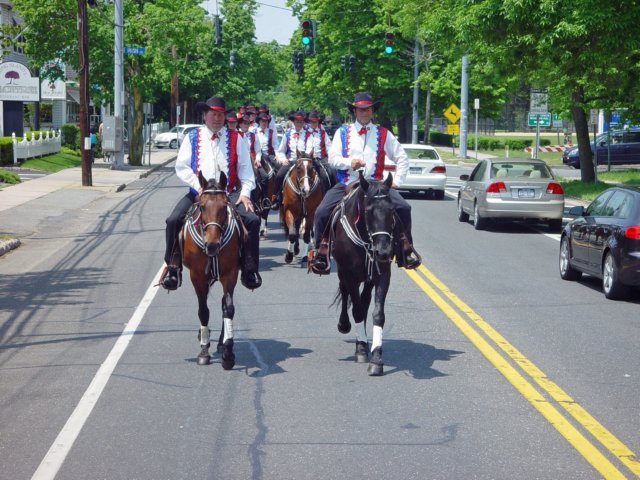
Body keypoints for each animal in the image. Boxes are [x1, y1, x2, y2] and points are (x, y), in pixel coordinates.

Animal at [182, 171, 242, 370]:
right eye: (202, 206)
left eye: (224, 206)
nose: (212, 245)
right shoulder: (197, 275)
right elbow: (203, 310)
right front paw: (204, 351)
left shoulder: (230, 274)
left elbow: (228, 308)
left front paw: (228, 352)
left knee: (223, 303)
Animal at [336, 171, 396, 376]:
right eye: (369, 211)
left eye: (392, 211)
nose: (383, 252)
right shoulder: (350, 275)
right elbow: (357, 310)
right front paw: (361, 349)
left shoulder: (383, 275)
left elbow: (377, 314)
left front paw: (377, 358)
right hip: (342, 272)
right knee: (346, 293)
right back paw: (345, 326)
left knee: (365, 299)